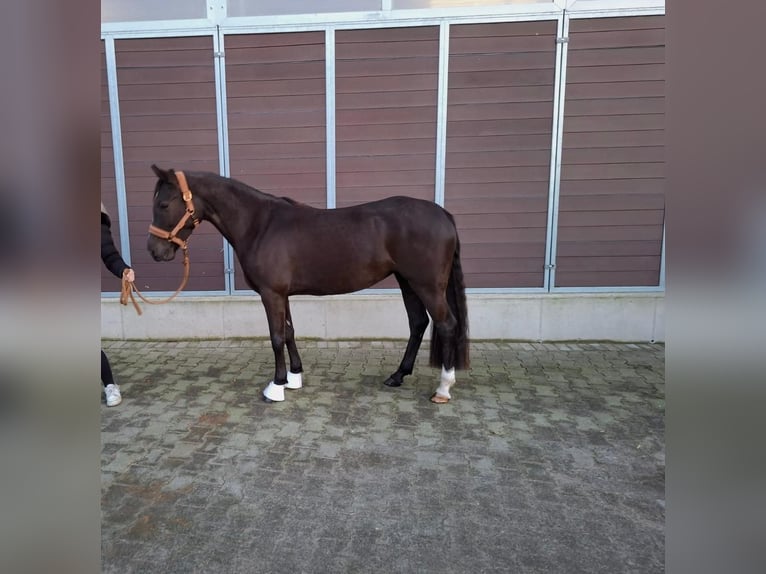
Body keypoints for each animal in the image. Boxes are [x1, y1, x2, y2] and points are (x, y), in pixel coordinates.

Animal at [144, 166, 468, 404]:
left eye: (163, 203)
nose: (154, 251)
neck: (259, 224)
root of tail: (443, 214)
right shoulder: (282, 294)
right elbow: (289, 332)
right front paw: (294, 377)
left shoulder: (271, 294)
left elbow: (276, 336)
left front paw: (276, 386)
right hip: (407, 281)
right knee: (418, 323)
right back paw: (397, 376)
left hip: (427, 285)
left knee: (446, 325)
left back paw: (443, 388)